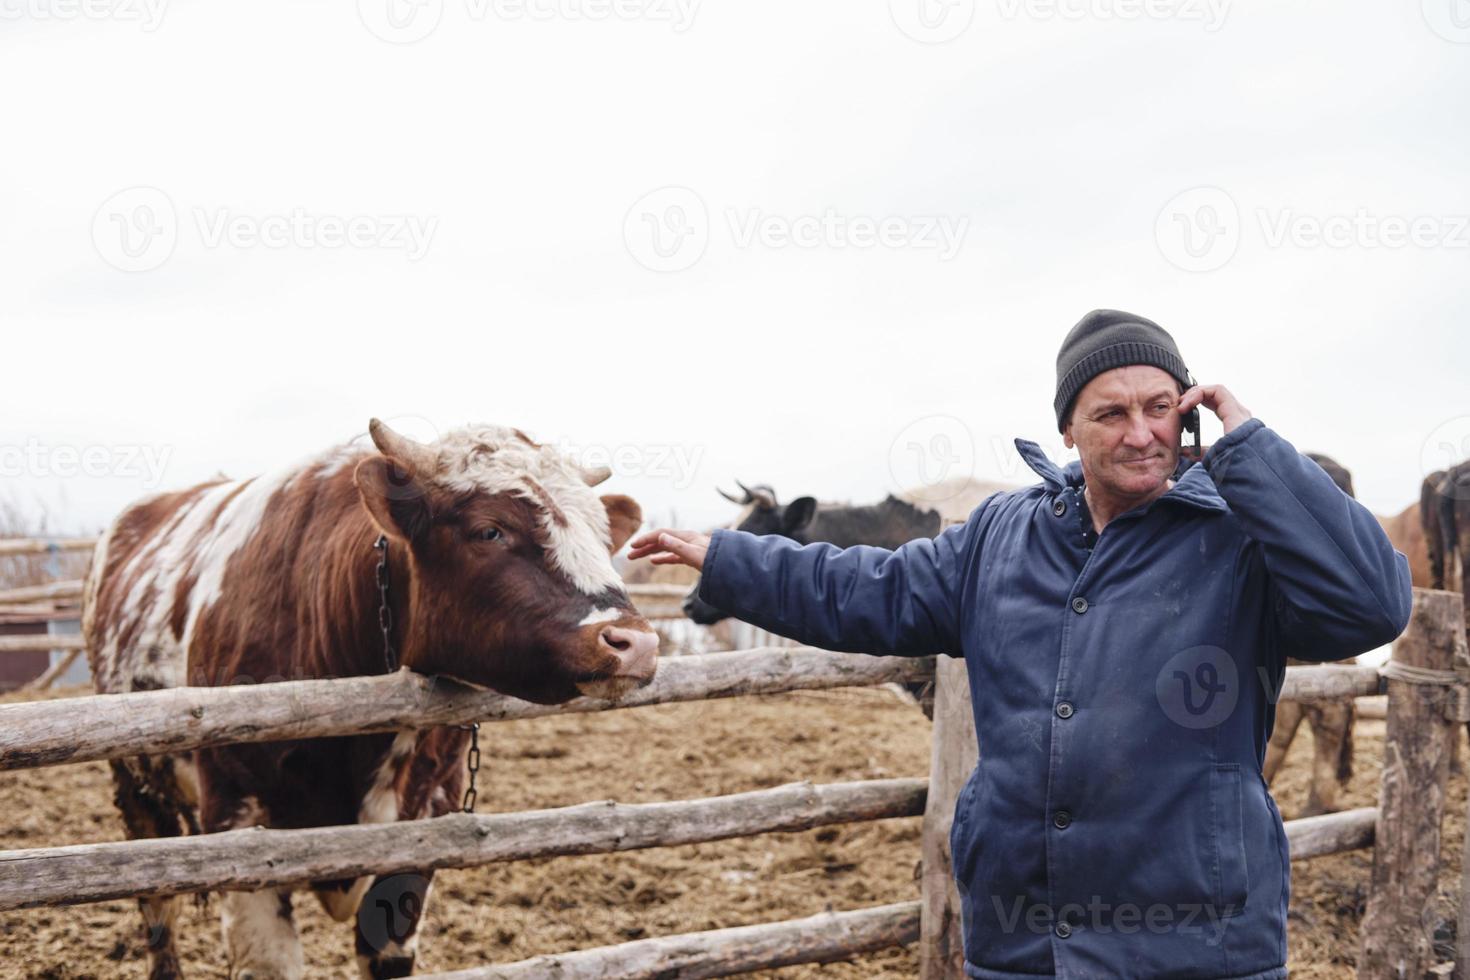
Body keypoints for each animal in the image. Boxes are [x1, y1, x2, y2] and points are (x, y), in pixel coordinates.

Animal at [80, 423, 655, 980]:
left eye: (602, 535)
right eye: (490, 530)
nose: (635, 642)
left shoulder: (421, 831)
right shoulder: (236, 826)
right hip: (137, 789)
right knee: (159, 909)